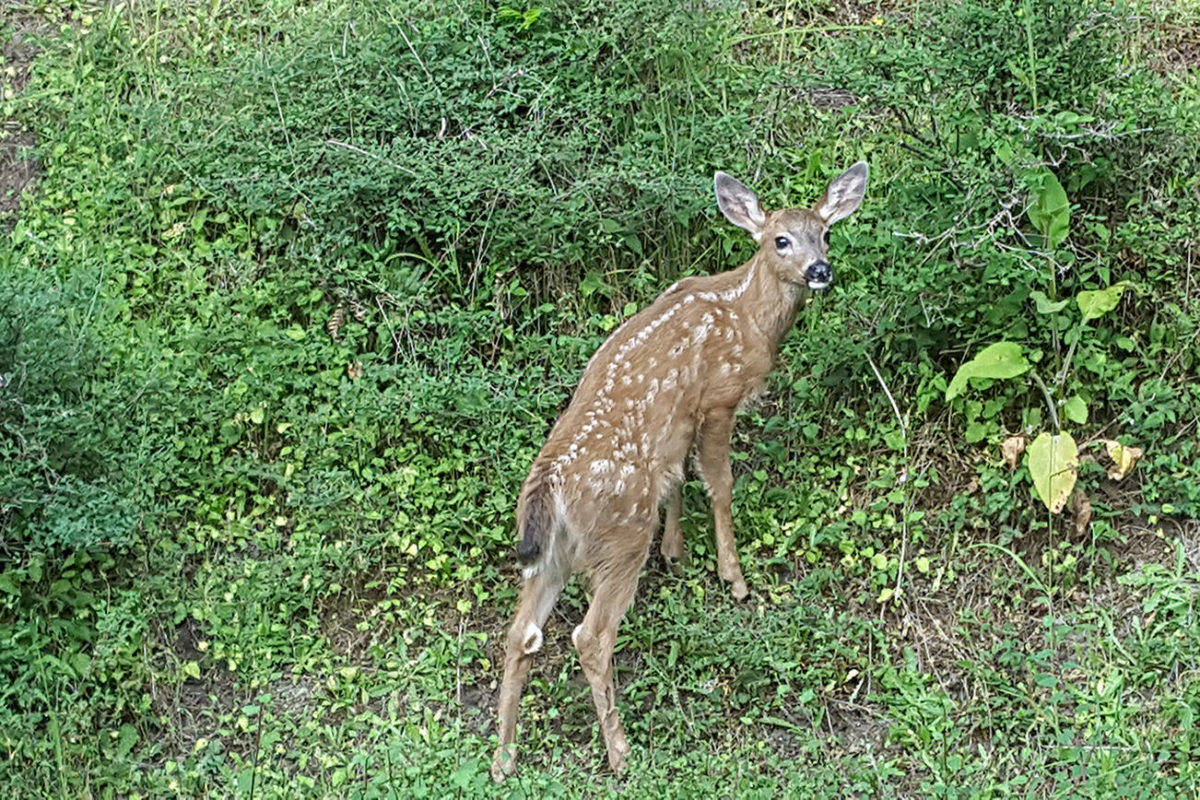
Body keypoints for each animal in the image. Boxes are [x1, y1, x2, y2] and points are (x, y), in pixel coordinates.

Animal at [490, 162, 869, 782]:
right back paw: (620, 753)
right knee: (590, 636)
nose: (821, 270)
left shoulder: (679, 424)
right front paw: (733, 577)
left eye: (826, 233)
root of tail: (551, 486)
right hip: (620, 535)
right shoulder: (718, 398)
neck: (746, 314)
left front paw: (677, 551)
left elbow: (679, 478)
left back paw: (503, 760)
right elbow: (719, 483)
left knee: (521, 634)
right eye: (779, 240)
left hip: (551, 554)